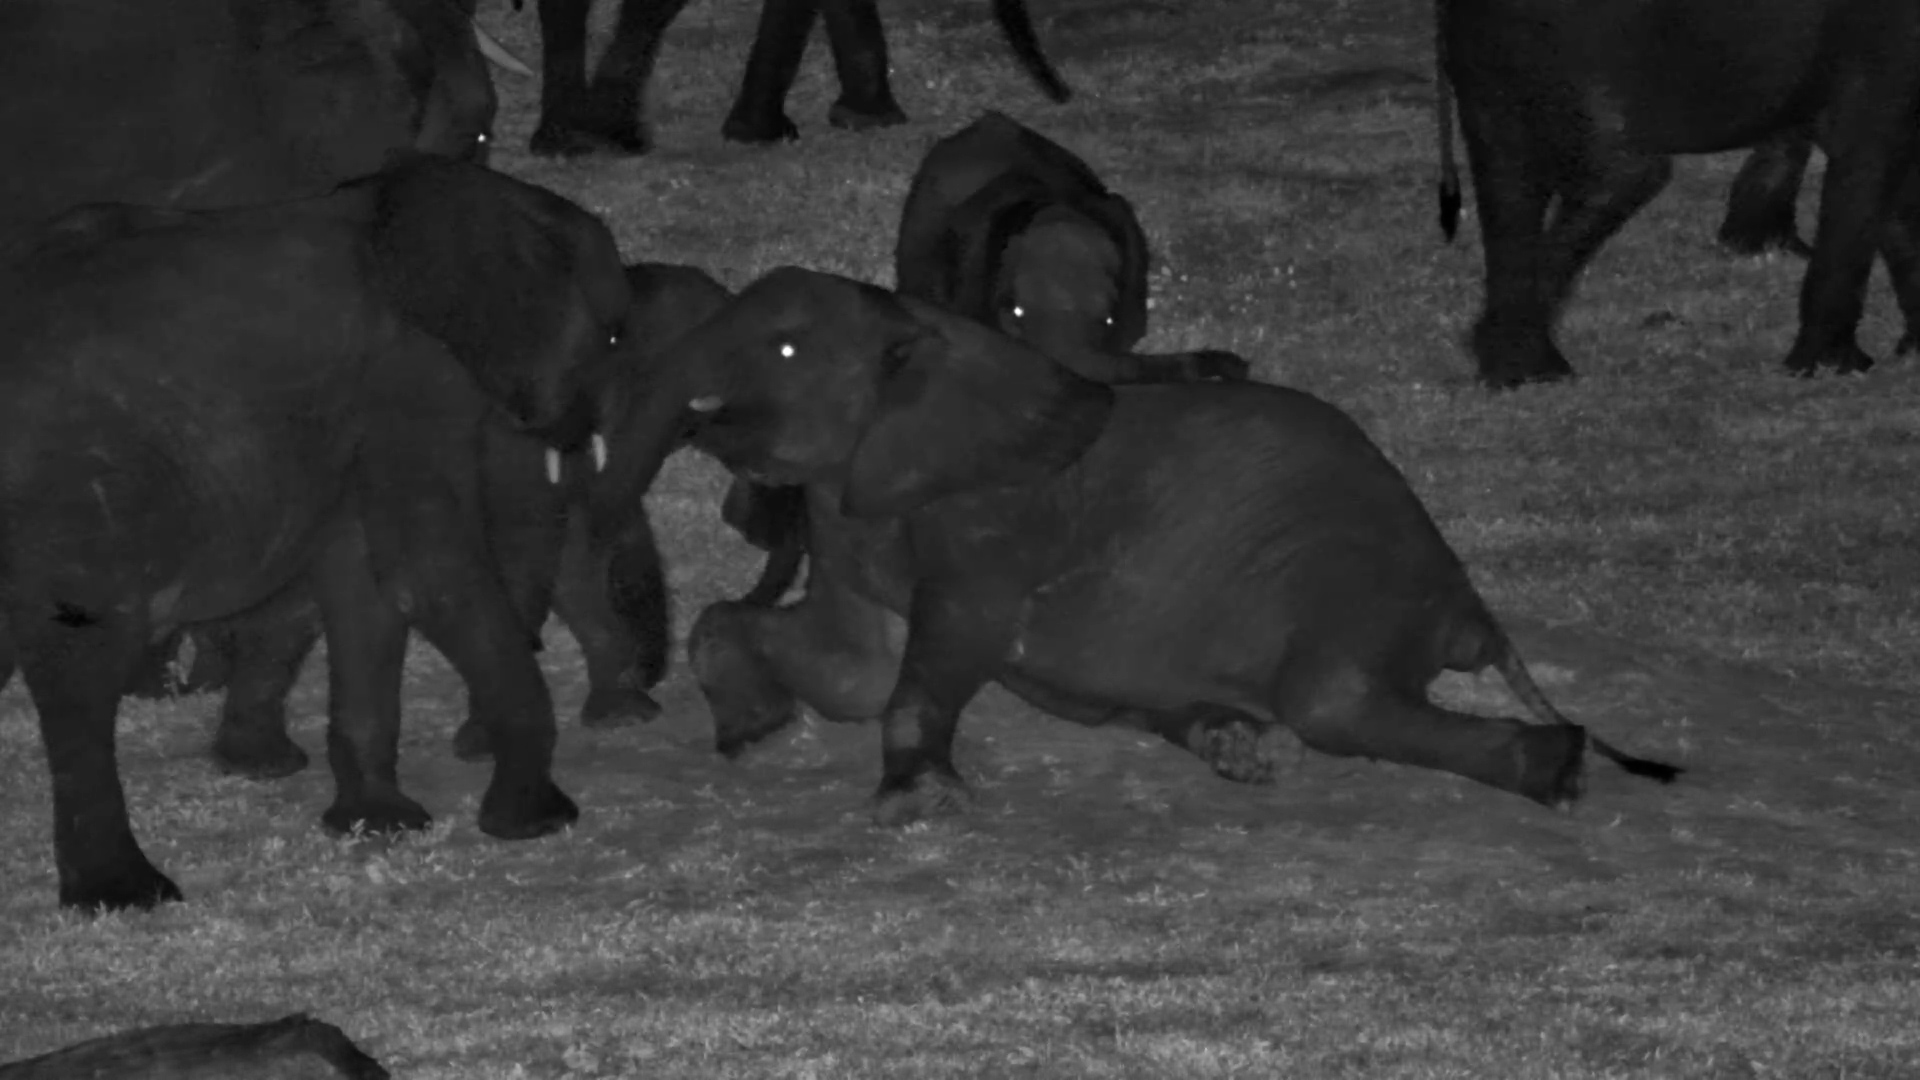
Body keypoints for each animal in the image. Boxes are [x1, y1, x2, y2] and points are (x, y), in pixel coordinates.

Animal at [0, 159, 628, 910]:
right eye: (613, 339)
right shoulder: (409, 382)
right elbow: (424, 572)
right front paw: (539, 823)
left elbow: (365, 579)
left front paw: (380, 826)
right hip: (78, 491)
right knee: (82, 656)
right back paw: (128, 896)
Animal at [599, 268, 1683, 823]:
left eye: (784, 349)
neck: (928, 333)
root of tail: (1470, 609)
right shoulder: (852, 505)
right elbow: (850, 665)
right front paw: (751, 733)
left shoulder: (994, 516)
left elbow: (941, 649)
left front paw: (917, 809)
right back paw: (1238, 749)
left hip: (1361, 581)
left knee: (1331, 699)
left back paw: (1559, 773)